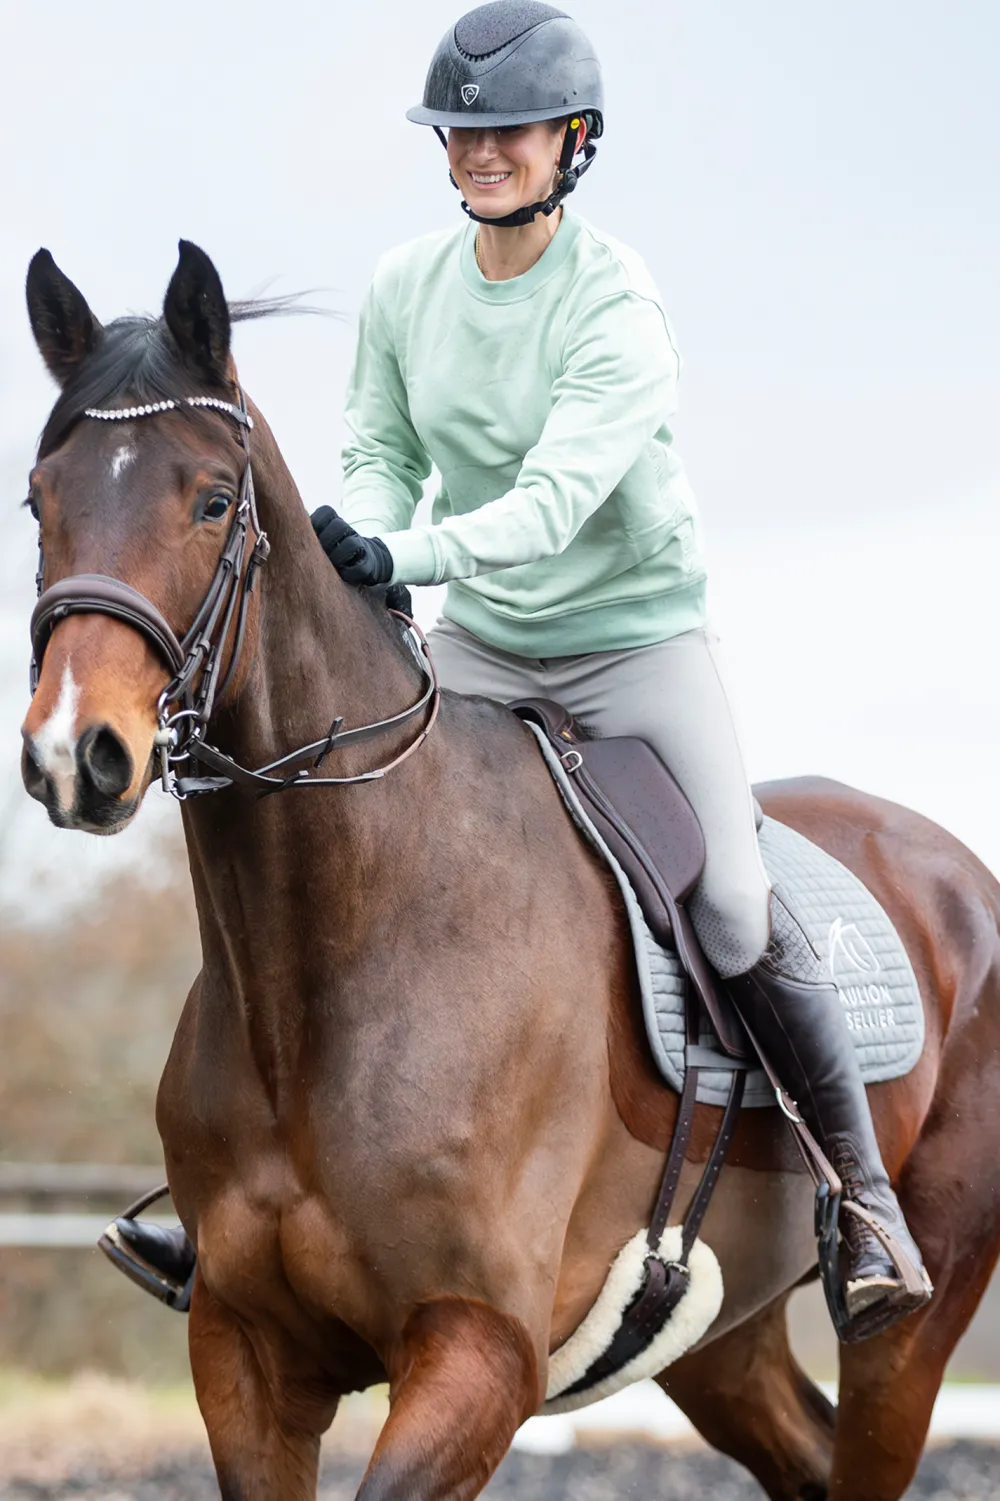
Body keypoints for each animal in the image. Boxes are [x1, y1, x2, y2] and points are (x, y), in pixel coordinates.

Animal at [19, 240, 1000, 1501]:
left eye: (211, 500)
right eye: (39, 501)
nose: (75, 752)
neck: (333, 958)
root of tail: (957, 873)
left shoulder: (479, 1348)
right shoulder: (242, 1349)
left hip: (915, 1317)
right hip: (715, 1341)